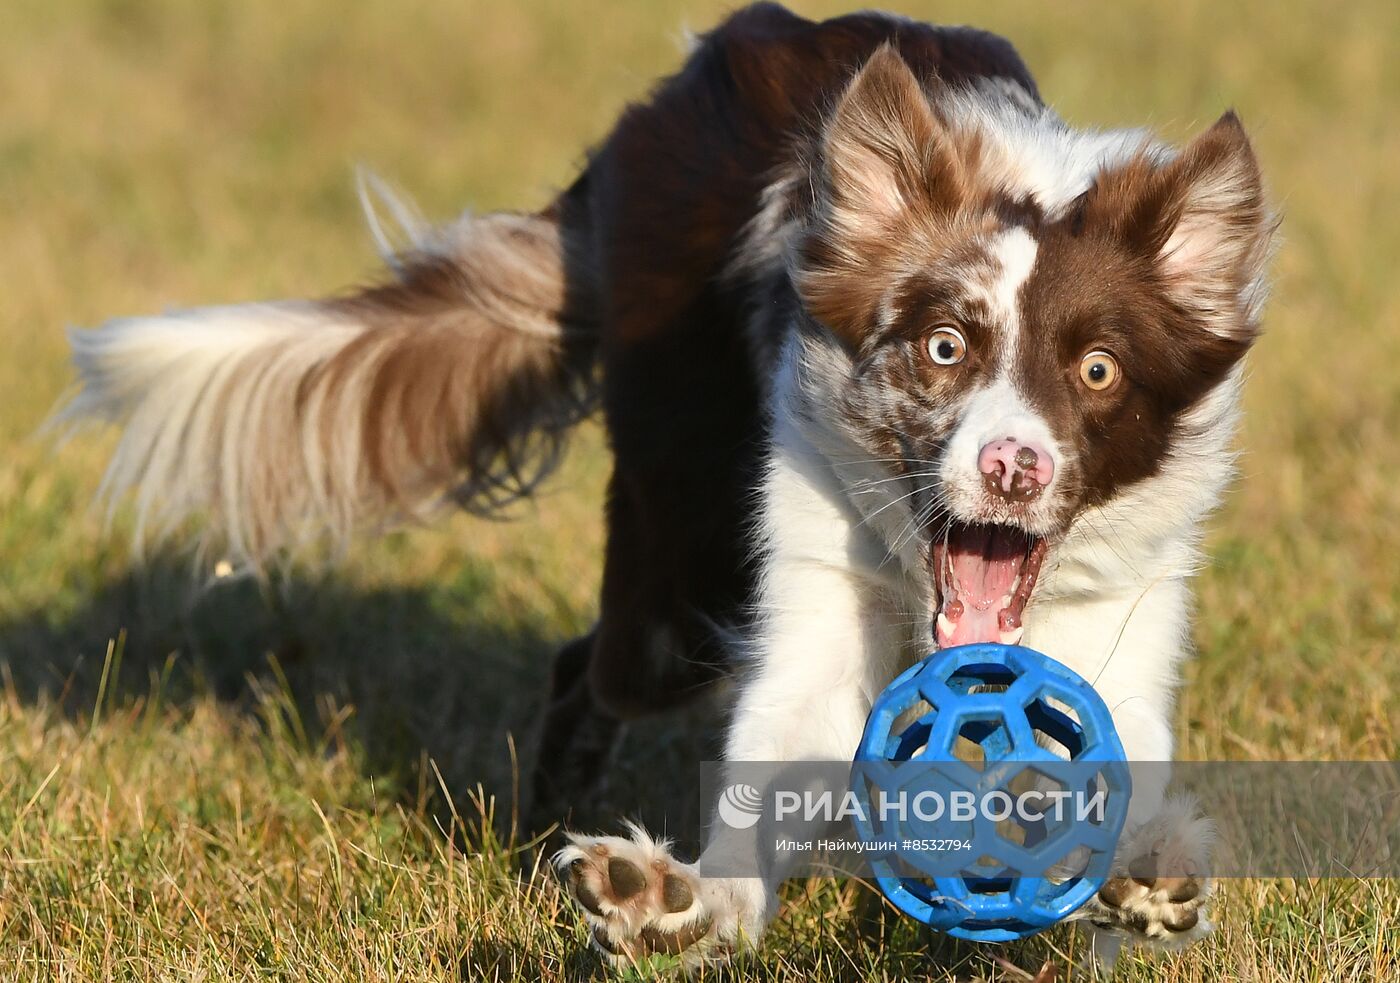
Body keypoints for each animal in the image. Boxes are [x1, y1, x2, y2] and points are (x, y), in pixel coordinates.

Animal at [60, 3, 1276, 974]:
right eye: (944, 346)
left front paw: (1139, 873)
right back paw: (546, 815)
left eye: (1097, 370)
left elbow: (1108, 780)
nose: (1013, 467)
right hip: (683, 566)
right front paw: (673, 904)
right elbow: (768, 769)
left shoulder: (1120, 618)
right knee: (596, 663)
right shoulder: (810, 574)